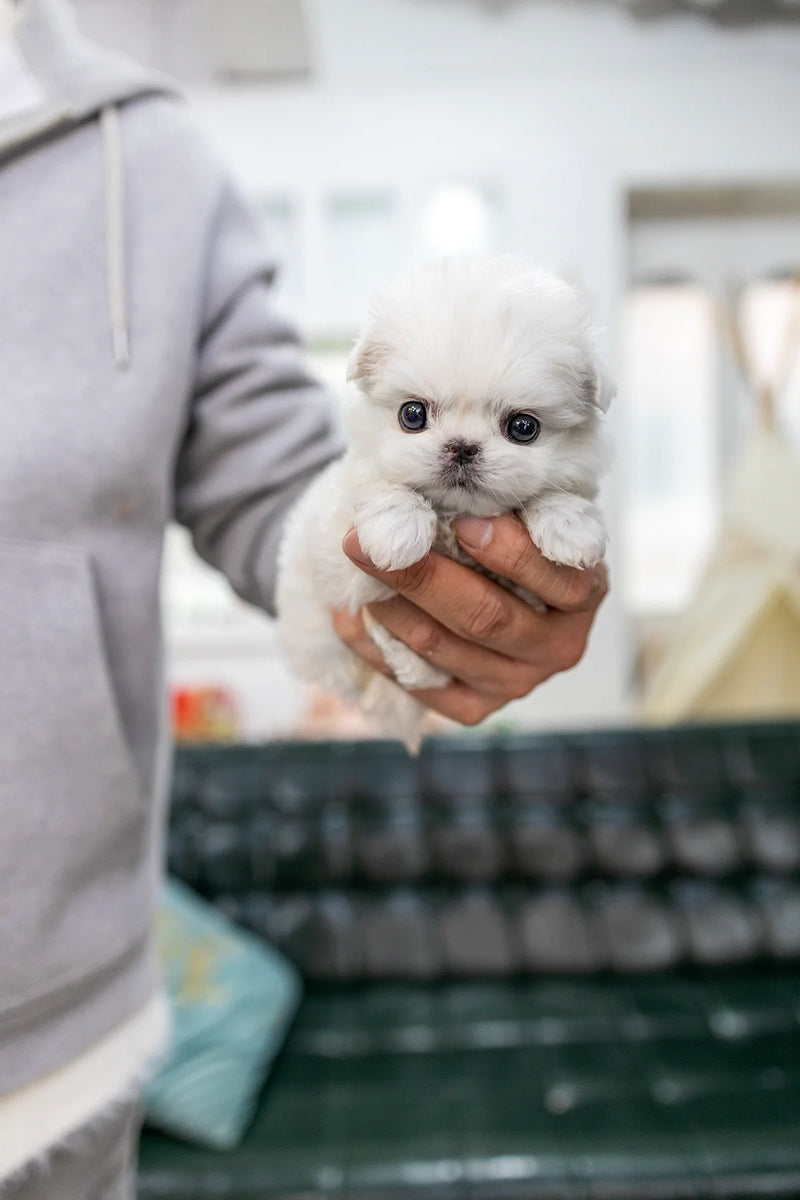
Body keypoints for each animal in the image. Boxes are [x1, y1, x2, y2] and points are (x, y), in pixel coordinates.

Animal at [276, 256, 614, 751]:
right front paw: (399, 528)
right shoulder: (334, 541)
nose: (462, 447)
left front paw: (567, 524)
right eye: (412, 415)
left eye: (523, 427)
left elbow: (552, 495)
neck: (456, 515)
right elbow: (377, 488)